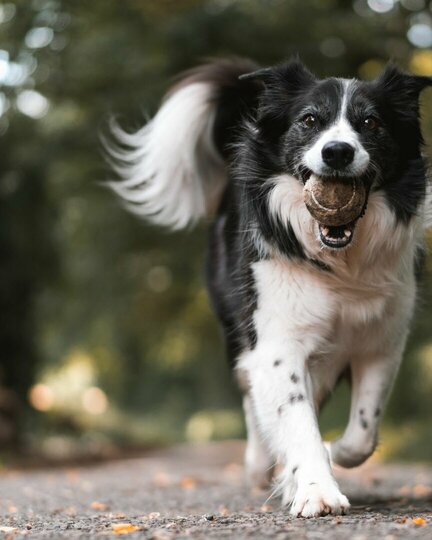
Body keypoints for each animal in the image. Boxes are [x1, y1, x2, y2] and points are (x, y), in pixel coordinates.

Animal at [105, 57, 432, 516]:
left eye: (371, 122)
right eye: (309, 120)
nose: (337, 151)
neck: (339, 263)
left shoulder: (382, 340)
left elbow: (362, 434)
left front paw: (327, 458)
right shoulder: (276, 340)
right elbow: (294, 418)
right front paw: (316, 490)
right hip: (237, 330)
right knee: (252, 397)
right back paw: (261, 466)